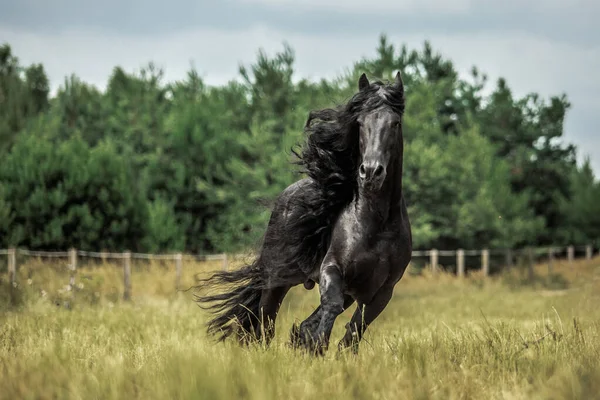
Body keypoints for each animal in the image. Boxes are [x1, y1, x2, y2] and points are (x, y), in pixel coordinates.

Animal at [195, 71, 410, 354]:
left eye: (395, 123)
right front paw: (319, 345)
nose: (371, 172)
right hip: (276, 279)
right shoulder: (332, 269)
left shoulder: (382, 291)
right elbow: (331, 308)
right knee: (265, 321)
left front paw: (323, 349)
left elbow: (354, 330)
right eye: (360, 123)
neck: (377, 223)